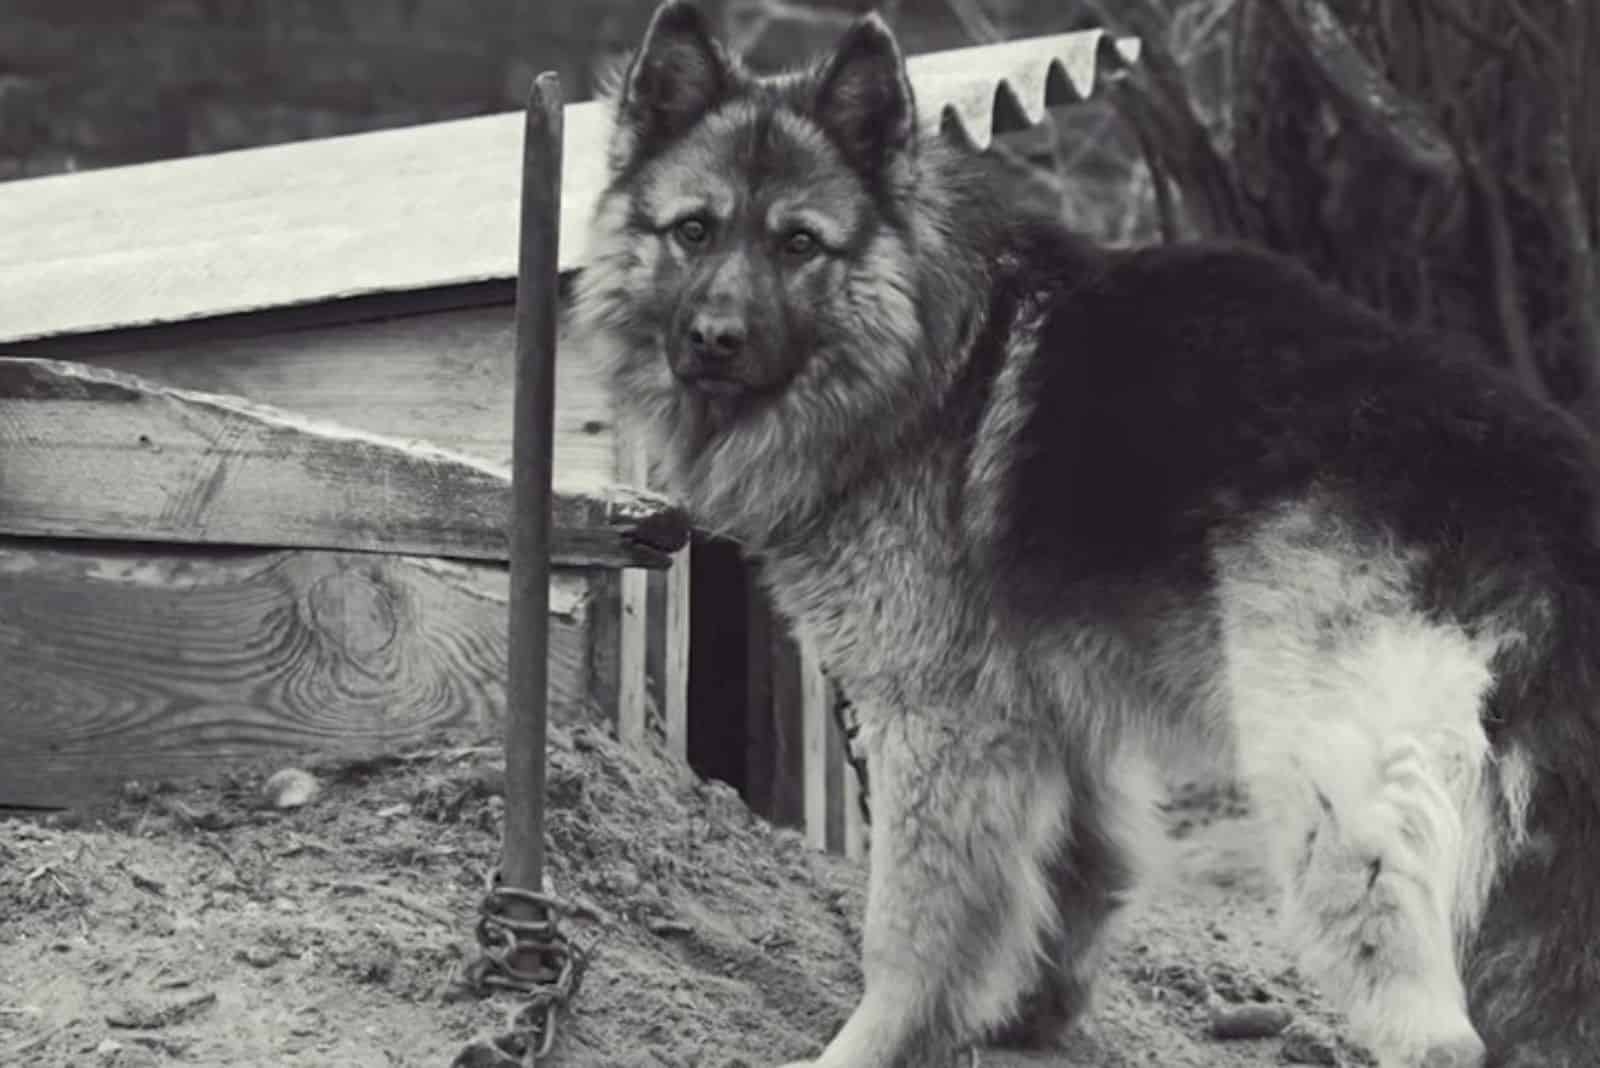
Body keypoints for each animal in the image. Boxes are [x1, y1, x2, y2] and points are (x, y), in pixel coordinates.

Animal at [569, 4, 1600, 1061]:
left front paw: (874, 1043)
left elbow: (909, 927)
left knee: (1438, 1033)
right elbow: (1075, 881)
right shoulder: (1059, 725)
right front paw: (1030, 1021)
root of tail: (1533, 477)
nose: (714, 339)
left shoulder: (939, 727)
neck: (931, 356)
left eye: (799, 245)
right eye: (693, 231)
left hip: (1331, 808)